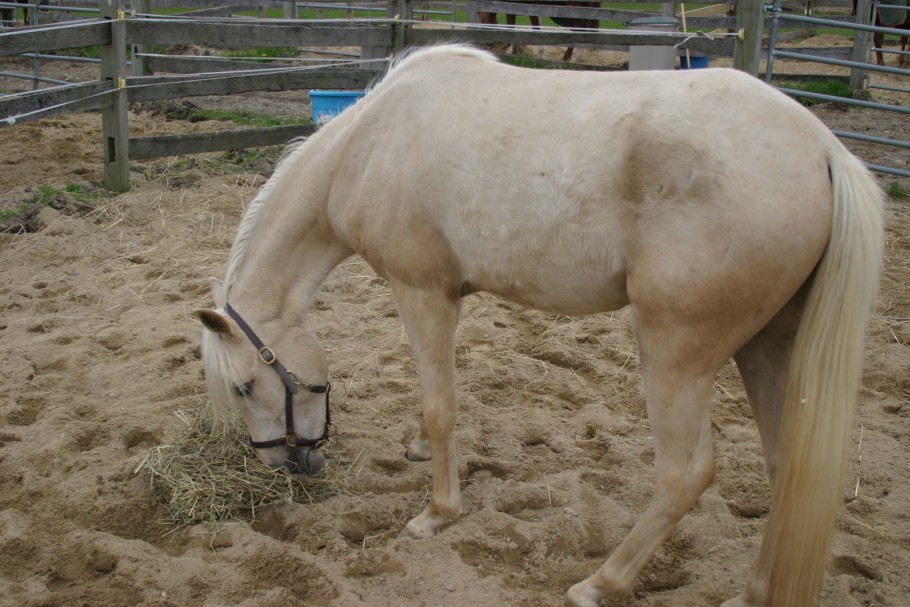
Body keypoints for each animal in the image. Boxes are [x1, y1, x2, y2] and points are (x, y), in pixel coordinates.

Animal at [198, 44, 884, 607]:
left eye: (243, 387)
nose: (283, 463)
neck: (367, 146)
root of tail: (823, 150)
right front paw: (418, 449)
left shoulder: (422, 293)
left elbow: (442, 405)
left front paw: (437, 513)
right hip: (769, 346)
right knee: (788, 471)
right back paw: (752, 593)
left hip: (676, 350)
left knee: (683, 476)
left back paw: (598, 583)